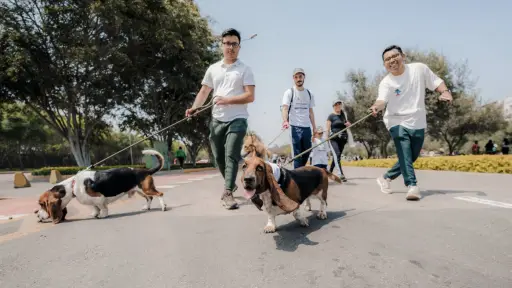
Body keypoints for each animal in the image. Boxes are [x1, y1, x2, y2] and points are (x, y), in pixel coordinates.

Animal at [36, 150, 168, 224]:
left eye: (42, 204)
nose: (37, 215)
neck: (72, 186)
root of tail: (146, 171)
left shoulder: (99, 198)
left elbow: (102, 207)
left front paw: (103, 215)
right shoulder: (93, 201)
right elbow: (94, 208)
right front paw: (94, 214)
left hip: (146, 189)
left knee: (160, 194)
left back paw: (163, 207)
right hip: (141, 191)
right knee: (149, 198)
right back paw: (146, 207)